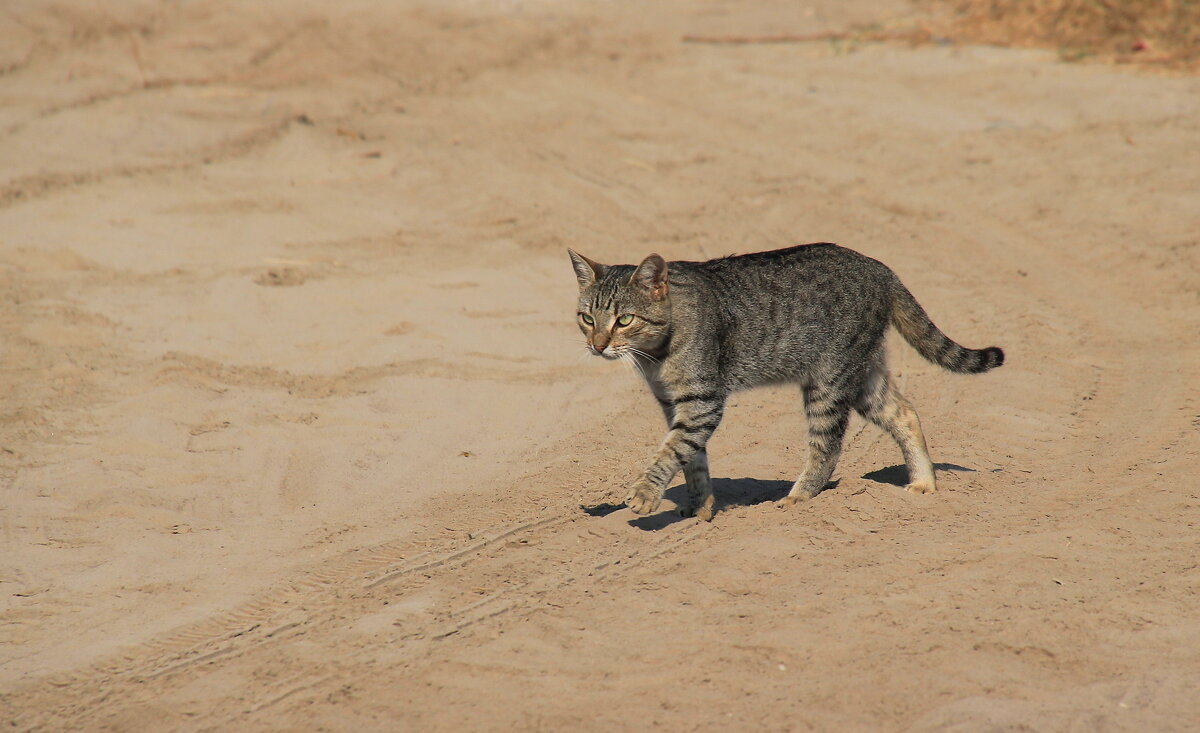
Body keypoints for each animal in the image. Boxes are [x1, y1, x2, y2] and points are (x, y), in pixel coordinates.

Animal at [568, 242, 1003, 523]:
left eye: (625, 319)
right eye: (587, 318)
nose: (597, 345)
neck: (657, 356)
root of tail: (878, 266)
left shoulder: (703, 401)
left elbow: (671, 451)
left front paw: (644, 495)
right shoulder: (675, 405)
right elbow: (693, 459)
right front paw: (702, 506)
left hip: (830, 381)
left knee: (828, 447)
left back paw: (799, 498)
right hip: (863, 377)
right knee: (906, 412)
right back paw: (924, 484)